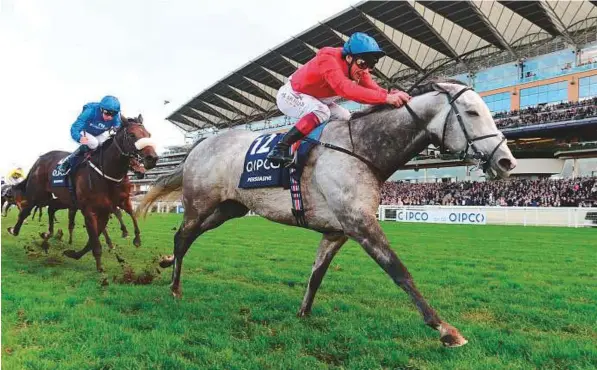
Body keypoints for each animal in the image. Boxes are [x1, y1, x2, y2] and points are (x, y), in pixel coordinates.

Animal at [9, 114, 157, 270]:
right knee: (25, 211)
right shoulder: (89, 210)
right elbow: (95, 240)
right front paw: (100, 268)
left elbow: (94, 238)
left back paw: (46, 236)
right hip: (36, 194)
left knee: (45, 211)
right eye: (131, 135)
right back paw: (15, 230)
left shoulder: (107, 209)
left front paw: (74, 254)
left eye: (148, 135)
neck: (105, 174)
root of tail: (39, 159)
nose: (152, 158)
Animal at [139, 79, 516, 346]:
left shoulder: (338, 231)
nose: (506, 161)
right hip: (200, 202)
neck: (361, 148)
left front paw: (303, 313)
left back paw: (166, 263)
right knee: (183, 235)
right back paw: (174, 287)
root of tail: (199, 145)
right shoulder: (360, 223)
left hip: (228, 208)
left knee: (187, 236)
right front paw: (444, 328)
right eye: (471, 113)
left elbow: (317, 274)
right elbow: (399, 270)